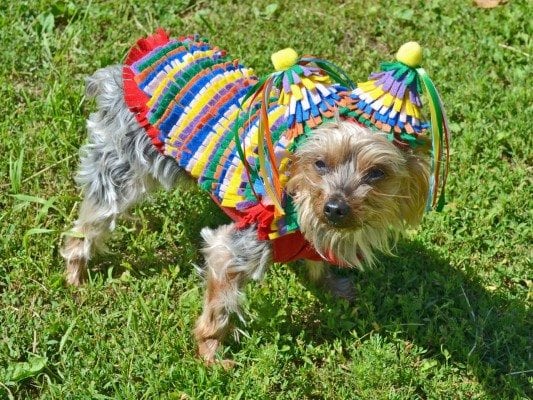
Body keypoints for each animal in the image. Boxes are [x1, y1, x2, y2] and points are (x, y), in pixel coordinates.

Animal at [61, 32, 444, 368]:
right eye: (319, 164)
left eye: (377, 173)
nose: (335, 208)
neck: (300, 203)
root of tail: (130, 64)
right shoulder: (235, 247)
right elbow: (219, 306)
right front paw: (211, 355)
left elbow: (318, 265)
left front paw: (333, 286)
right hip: (123, 163)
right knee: (90, 221)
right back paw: (75, 275)